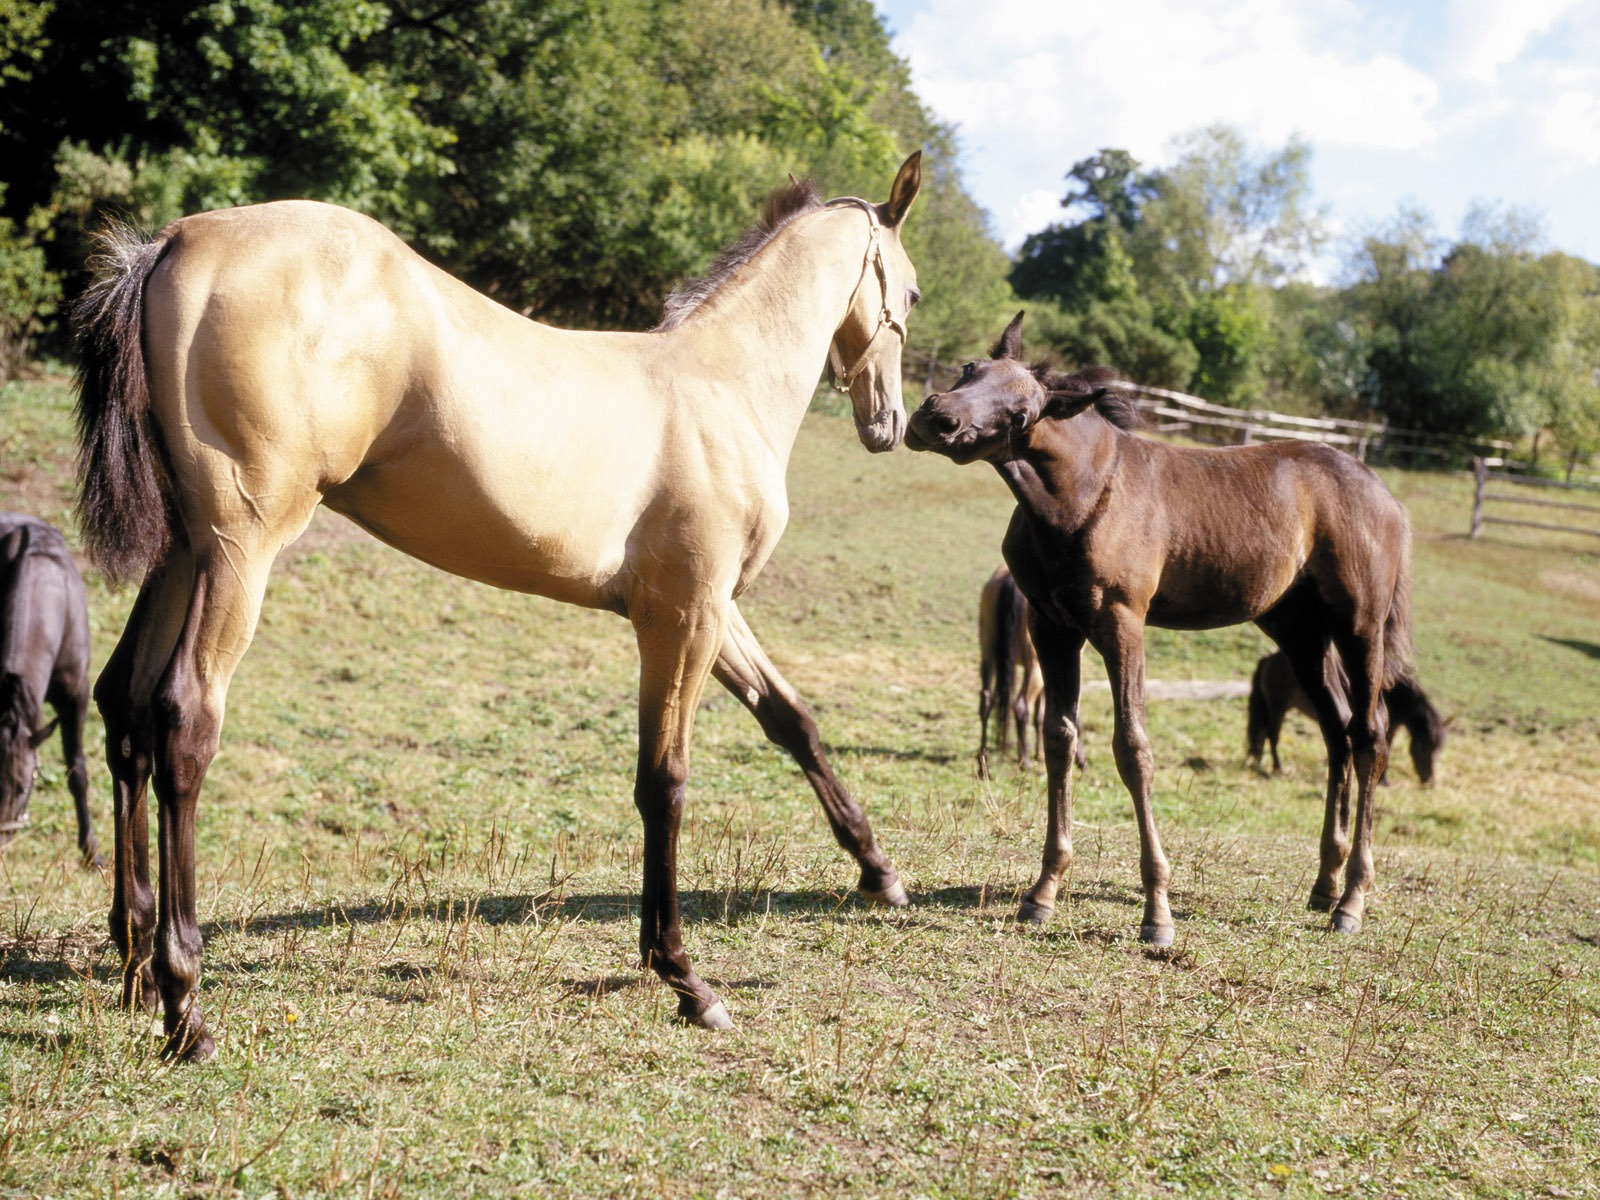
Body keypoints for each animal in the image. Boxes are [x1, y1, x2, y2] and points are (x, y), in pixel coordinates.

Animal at [72, 152, 928, 1062]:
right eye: (910, 295)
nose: (889, 421)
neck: (720, 385)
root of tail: (176, 239)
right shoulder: (684, 616)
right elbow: (664, 782)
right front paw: (684, 978)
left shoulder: (706, 610)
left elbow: (790, 719)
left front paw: (878, 871)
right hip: (239, 548)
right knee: (184, 720)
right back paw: (184, 1005)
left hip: (183, 552)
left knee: (124, 705)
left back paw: (134, 964)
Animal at [908, 312, 1420, 947]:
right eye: (970, 368)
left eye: (1022, 413)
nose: (935, 418)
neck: (1082, 495)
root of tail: (1388, 499)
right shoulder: (1052, 627)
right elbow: (1059, 738)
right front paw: (1043, 892)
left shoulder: (1122, 621)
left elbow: (1133, 748)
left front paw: (1157, 913)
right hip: (1299, 631)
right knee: (1338, 732)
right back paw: (1324, 884)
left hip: (1358, 624)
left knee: (1370, 732)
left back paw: (1351, 901)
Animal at [1248, 652, 1452, 784]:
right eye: (1423, 748)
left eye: (1440, 749)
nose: (1430, 782)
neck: (1394, 693)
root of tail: (1269, 658)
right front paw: (1383, 781)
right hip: (1278, 707)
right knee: (1272, 736)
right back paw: (1278, 767)